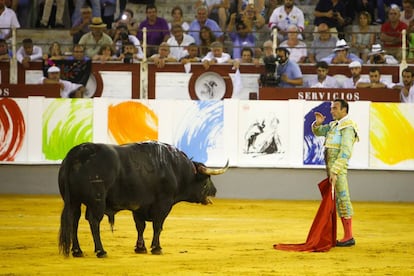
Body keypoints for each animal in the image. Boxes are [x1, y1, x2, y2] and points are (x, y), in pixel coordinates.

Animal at [57, 141, 230, 258]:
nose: (215, 191)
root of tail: (77, 153)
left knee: (74, 219)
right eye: (207, 179)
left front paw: (140, 247)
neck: (176, 169)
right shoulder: (163, 204)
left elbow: (140, 226)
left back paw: (77, 251)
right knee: (93, 221)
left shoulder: (139, 206)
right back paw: (101, 250)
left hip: (73, 201)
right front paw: (156, 248)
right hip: (97, 201)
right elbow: (157, 226)